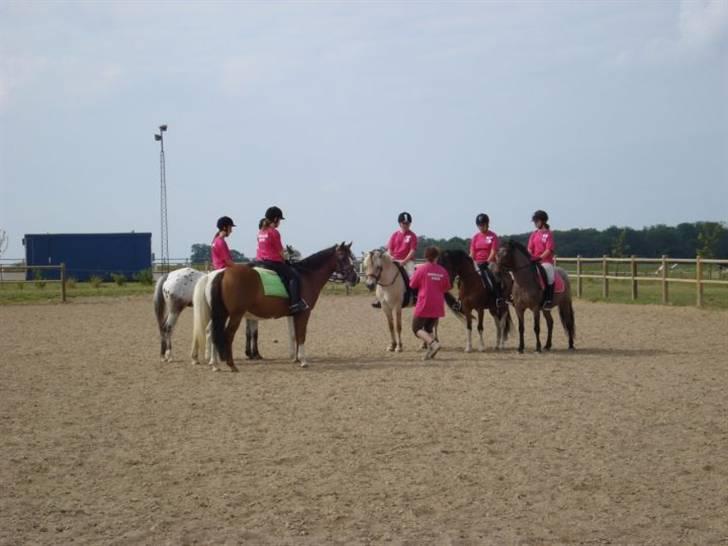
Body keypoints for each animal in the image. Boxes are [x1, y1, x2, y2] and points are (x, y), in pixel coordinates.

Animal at [210, 242, 358, 370]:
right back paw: (230, 364)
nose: (356, 278)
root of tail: (224, 272)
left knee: (215, 333)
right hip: (236, 314)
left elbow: (294, 335)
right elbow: (301, 335)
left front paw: (295, 358)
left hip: (224, 313)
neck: (307, 275)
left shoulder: (293, 314)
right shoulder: (304, 313)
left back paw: (216, 364)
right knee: (227, 335)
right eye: (342, 257)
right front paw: (303, 361)